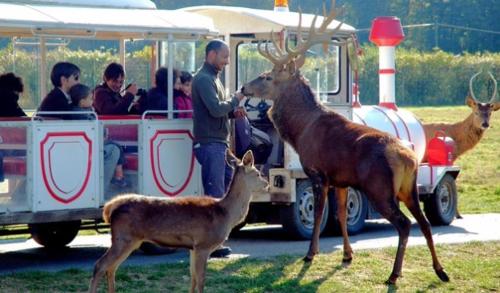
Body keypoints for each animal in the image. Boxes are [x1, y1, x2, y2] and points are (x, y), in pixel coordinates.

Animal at [90, 151, 270, 292]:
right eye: (257, 173)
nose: (267, 184)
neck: (225, 214)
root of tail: (110, 208)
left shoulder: (193, 247)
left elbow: (193, 278)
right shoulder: (203, 244)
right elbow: (201, 280)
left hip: (130, 240)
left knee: (111, 268)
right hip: (123, 238)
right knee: (100, 265)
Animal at [241, 0, 450, 282]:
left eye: (266, 76)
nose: (243, 88)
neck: (300, 130)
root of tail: (409, 158)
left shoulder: (317, 173)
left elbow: (318, 213)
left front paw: (310, 254)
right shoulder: (340, 180)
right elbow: (340, 214)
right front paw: (347, 255)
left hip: (380, 187)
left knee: (405, 224)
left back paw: (394, 274)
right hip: (409, 188)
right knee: (424, 223)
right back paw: (440, 271)